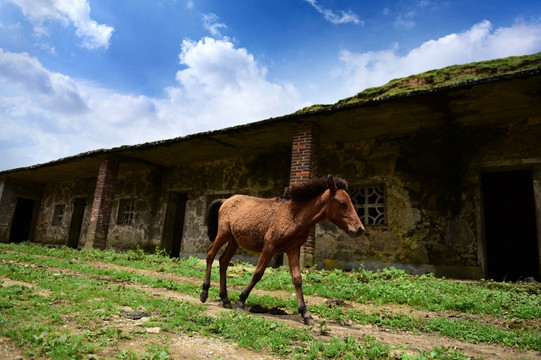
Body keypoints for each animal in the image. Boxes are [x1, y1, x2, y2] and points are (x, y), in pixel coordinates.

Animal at [198, 176, 362, 324]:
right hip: (223, 233)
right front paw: (241, 301)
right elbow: (258, 273)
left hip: (234, 240)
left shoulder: (293, 249)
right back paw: (204, 293)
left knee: (223, 261)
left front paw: (305, 314)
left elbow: (297, 279)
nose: (359, 229)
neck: (293, 215)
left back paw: (225, 299)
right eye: (342, 203)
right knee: (210, 254)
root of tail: (225, 200)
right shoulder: (269, 246)